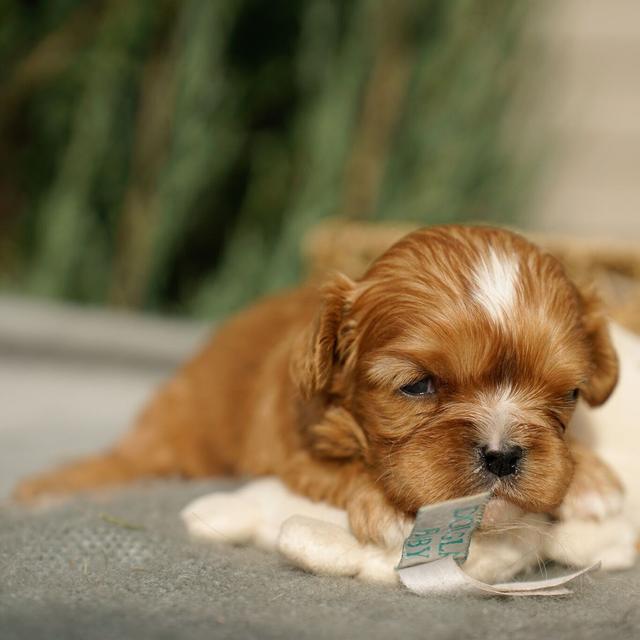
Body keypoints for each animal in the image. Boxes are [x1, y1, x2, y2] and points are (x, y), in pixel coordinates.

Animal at [16, 225, 624, 552]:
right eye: (417, 386)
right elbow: (338, 470)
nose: (502, 456)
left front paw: (589, 478)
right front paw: (389, 507)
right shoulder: (292, 449)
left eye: (569, 394)